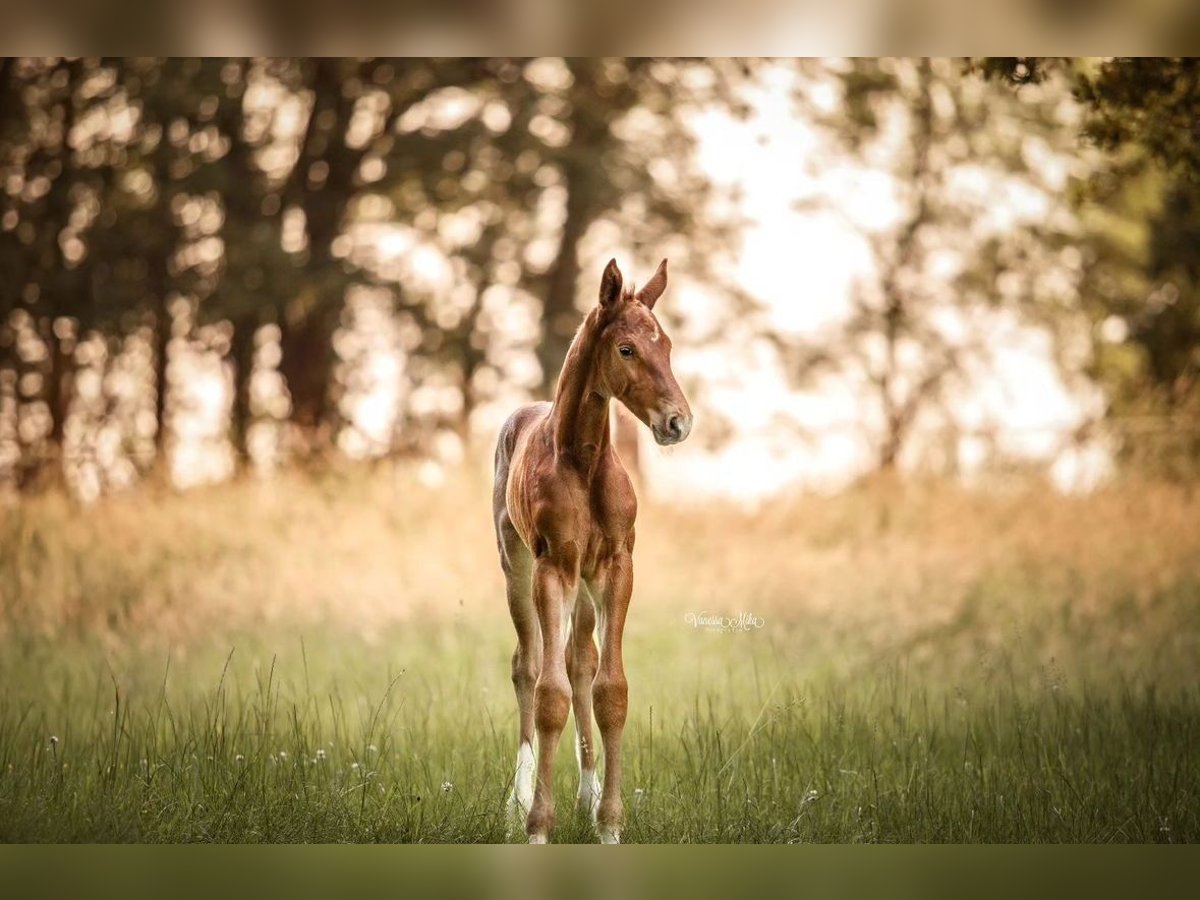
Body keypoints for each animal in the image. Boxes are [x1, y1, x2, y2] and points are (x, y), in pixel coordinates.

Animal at [489, 256, 696, 844]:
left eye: (666, 345)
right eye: (626, 348)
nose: (678, 422)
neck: (581, 461)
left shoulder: (616, 566)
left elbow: (610, 689)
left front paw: (609, 824)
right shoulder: (552, 566)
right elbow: (549, 694)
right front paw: (537, 825)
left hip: (583, 588)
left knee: (580, 659)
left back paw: (586, 793)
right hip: (516, 565)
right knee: (528, 665)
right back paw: (515, 802)